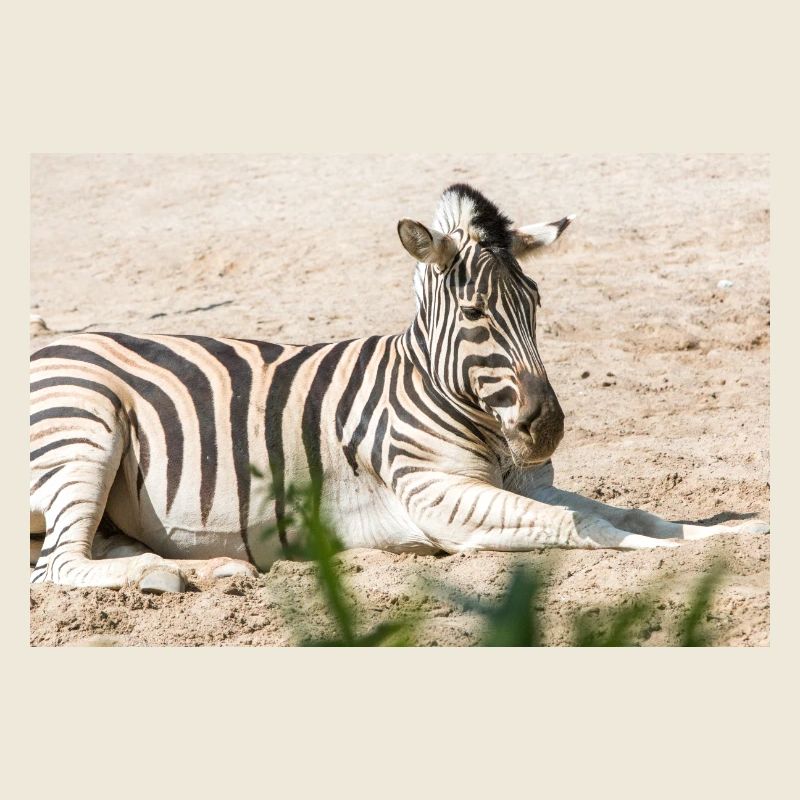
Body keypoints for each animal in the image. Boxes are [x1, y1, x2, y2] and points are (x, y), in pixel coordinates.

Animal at [29, 183, 769, 593]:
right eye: (476, 314)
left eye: (536, 302)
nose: (547, 429)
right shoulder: (437, 496)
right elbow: (585, 526)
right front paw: (667, 556)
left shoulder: (521, 483)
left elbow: (636, 513)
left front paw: (730, 531)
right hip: (85, 427)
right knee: (58, 567)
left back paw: (198, 571)